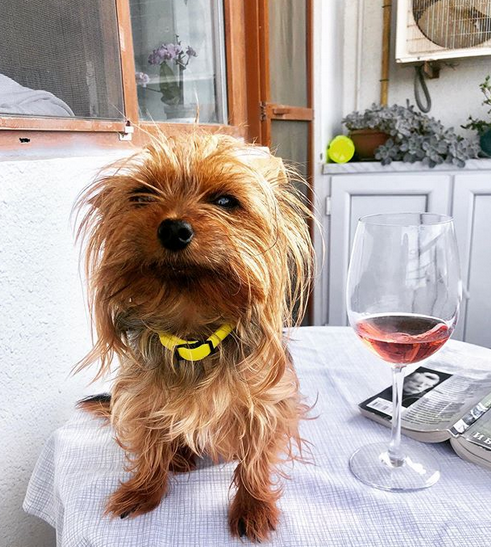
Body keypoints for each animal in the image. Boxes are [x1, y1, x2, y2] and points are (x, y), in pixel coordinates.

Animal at [75, 134, 314, 544]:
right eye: (142, 195)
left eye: (225, 201)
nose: (173, 229)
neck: (192, 331)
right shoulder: (141, 400)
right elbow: (150, 445)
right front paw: (143, 491)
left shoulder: (268, 404)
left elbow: (255, 458)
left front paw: (253, 507)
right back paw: (180, 457)